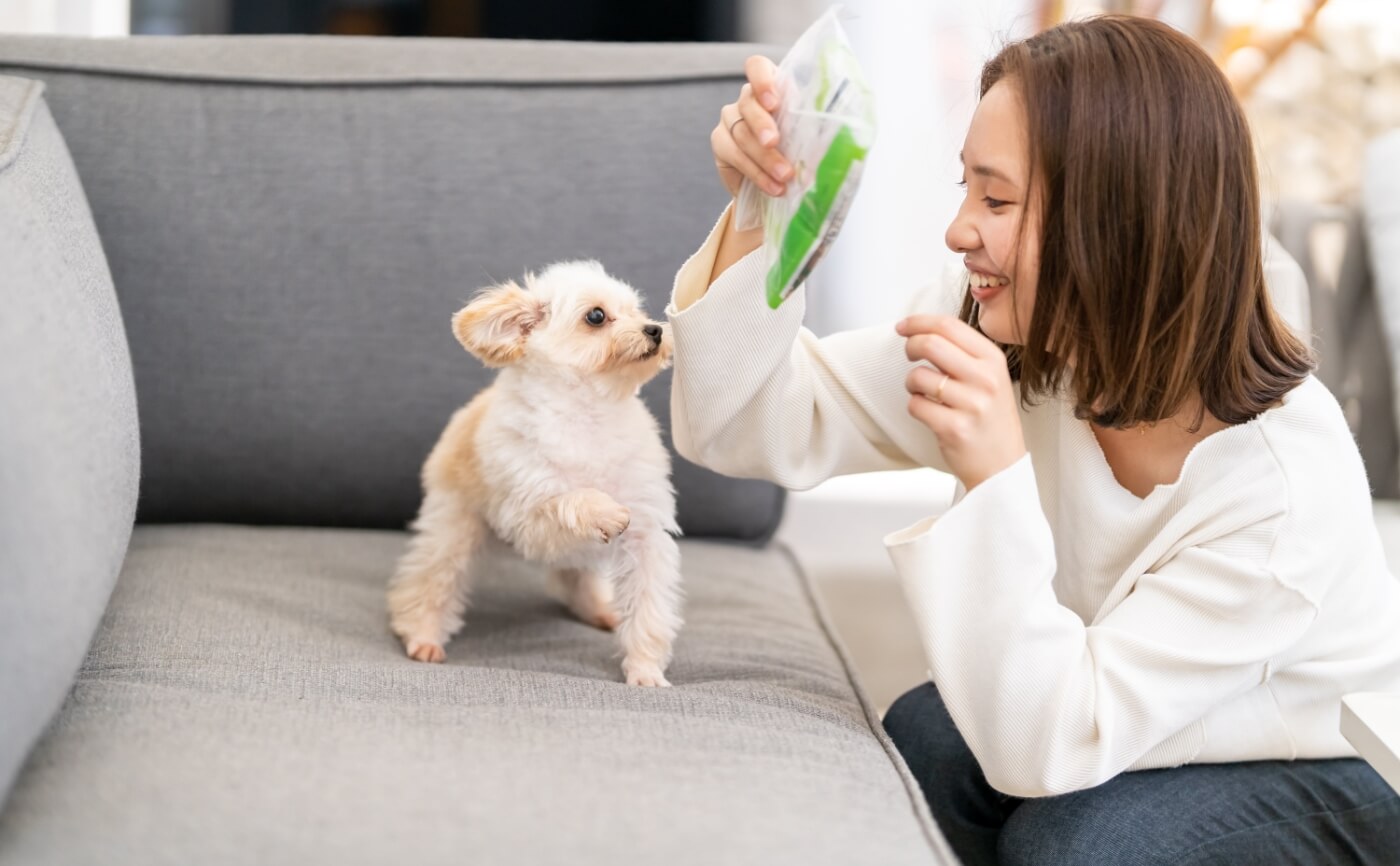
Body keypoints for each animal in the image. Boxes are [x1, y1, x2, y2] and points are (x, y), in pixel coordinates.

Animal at [389, 260, 683, 688]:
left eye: (637, 310)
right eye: (596, 316)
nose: (655, 329)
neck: (589, 416)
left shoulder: (646, 538)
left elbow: (648, 612)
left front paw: (645, 671)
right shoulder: (529, 517)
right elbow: (570, 499)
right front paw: (604, 511)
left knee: (574, 577)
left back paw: (600, 610)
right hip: (455, 530)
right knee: (428, 583)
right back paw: (422, 635)